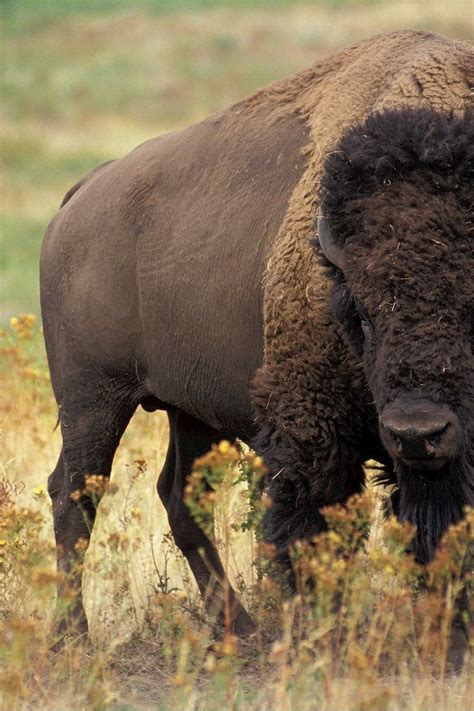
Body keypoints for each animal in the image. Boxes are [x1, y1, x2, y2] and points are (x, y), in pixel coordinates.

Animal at [40, 29, 473, 663]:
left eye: (473, 308)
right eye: (361, 312)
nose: (417, 430)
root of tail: (81, 195)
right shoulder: (311, 432)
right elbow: (313, 527)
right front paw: (324, 637)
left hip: (188, 410)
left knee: (177, 495)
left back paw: (237, 630)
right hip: (92, 400)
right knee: (75, 495)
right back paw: (72, 639)